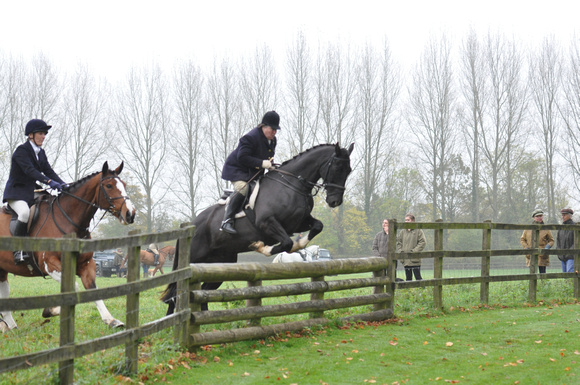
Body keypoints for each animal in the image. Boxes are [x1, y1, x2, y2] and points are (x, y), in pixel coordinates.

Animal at [0, 162, 135, 330]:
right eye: (109, 185)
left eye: (124, 185)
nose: (130, 214)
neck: (66, 218)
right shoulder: (49, 264)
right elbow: (73, 289)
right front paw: (49, 310)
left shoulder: (86, 265)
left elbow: (91, 289)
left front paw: (111, 320)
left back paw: (10, 326)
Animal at [163, 142, 354, 314]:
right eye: (337, 168)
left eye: (349, 170)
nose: (335, 201)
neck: (292, 184)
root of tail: (191, 225)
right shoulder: (267, 223)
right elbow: (286, 243)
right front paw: (262, 247)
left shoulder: (298, 222)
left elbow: (317, 227)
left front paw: (300, 245)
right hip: (194, 258)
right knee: (175, 292)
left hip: (221, 261)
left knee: (203, 290)